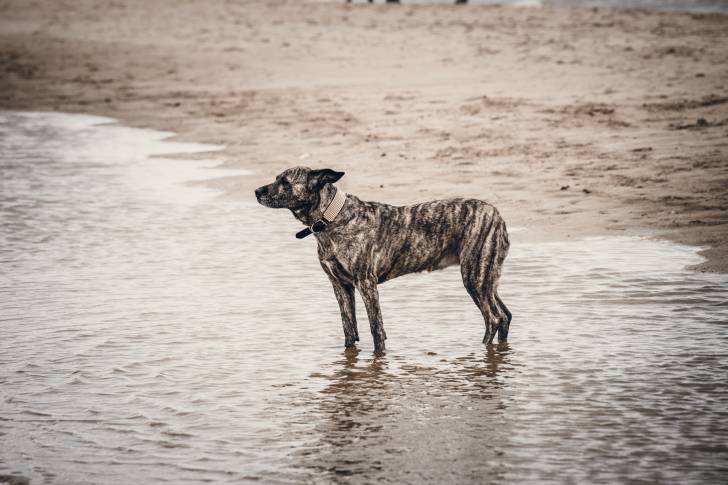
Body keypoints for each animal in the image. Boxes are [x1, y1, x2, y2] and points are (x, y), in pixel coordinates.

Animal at [255, 166, 511, 352]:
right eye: (277, 178)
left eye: (285, 182)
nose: (256, 191)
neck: (333, 218)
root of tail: (498, 216)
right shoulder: (340, 285)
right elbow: (349, 329)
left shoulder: (366, 284)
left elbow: (376, 329)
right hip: (486, 278)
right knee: (505, 315)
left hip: (474, 277)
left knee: (494, 318)